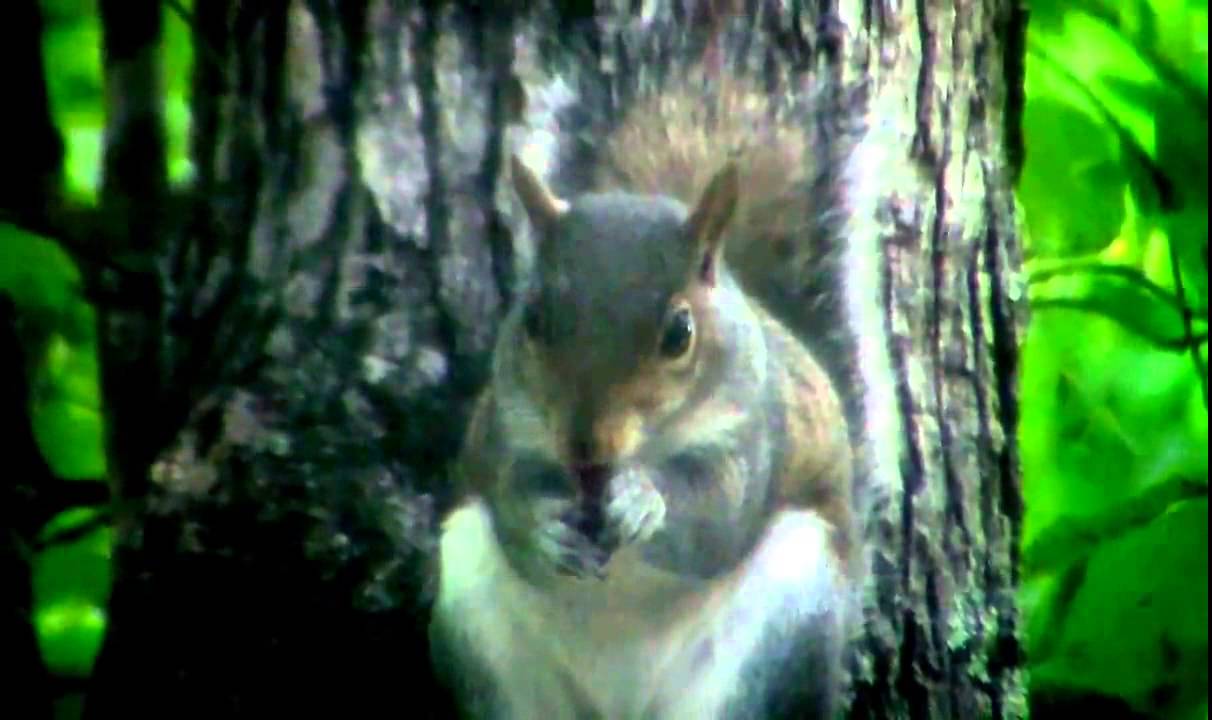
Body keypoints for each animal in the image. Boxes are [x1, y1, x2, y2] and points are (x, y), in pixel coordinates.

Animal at [428, 62, 868, 720]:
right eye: (532, 318)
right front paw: (542, 527)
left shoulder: (756, 436)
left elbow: (717, 517)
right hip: (478, 624)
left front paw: (644, 500)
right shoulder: (498, 428)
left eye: (679, 333)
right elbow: (505, 496)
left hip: (789, 615)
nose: (584, 446)